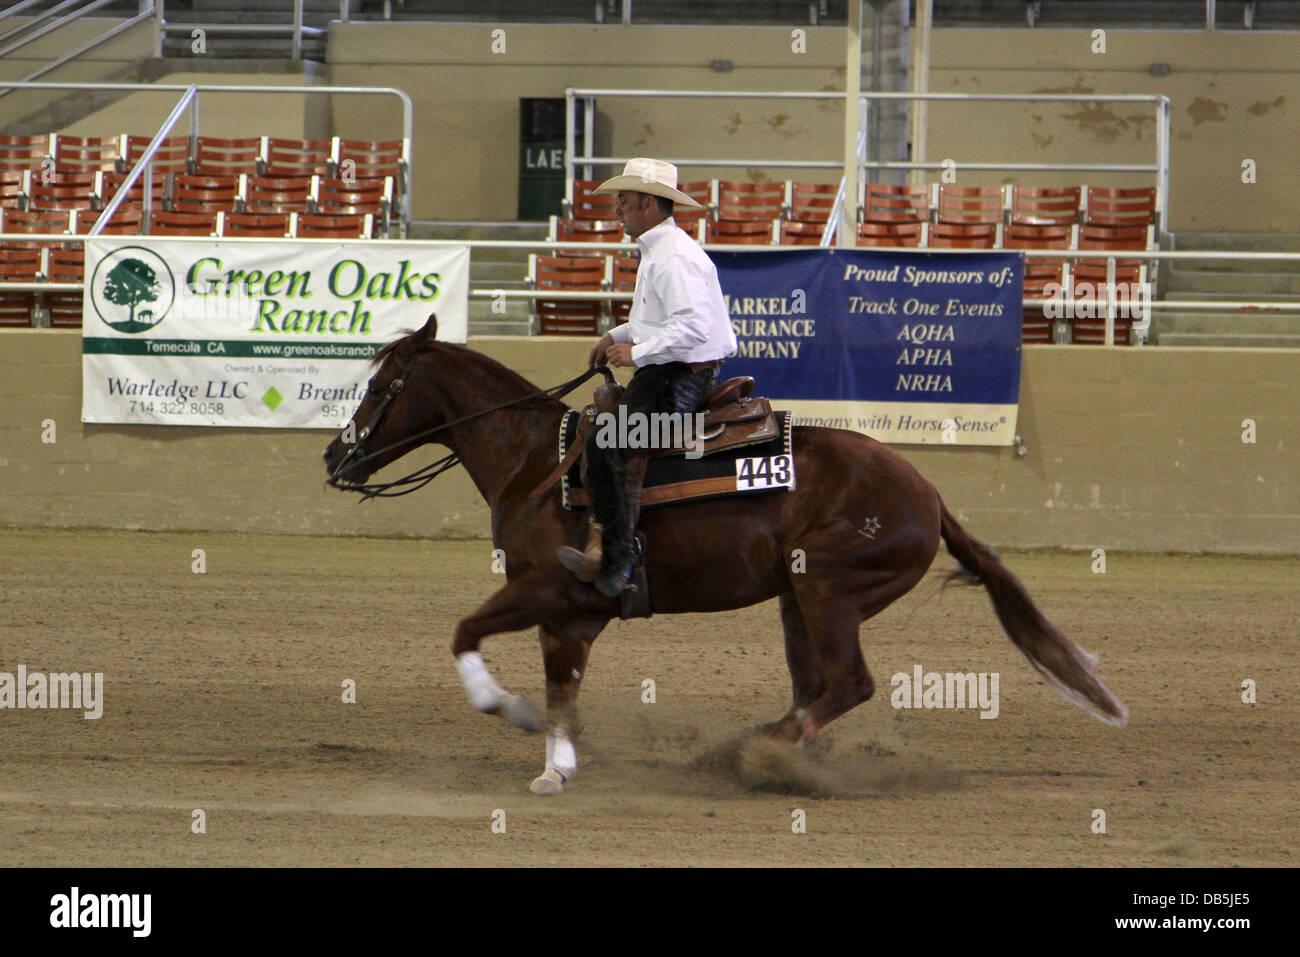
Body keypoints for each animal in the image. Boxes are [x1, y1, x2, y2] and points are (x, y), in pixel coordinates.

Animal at [322, 314, 1128, 795]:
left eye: (380, 385)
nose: (335, 455)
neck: (537, 463)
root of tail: (926, 492)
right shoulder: (573, 615)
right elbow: (563, 689)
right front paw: (558, 767)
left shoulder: (544, 587)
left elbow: (467, 634)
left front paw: (506, 710)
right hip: (796, 600)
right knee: (815, 687)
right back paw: (762, 749)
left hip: (828, 591)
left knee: (849, 683)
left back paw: (757, 755)